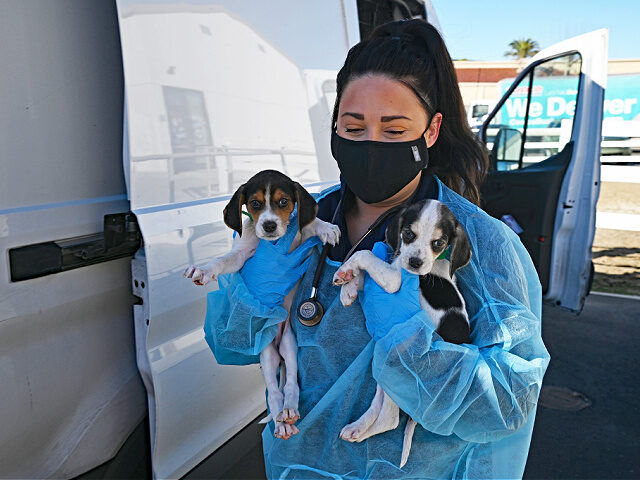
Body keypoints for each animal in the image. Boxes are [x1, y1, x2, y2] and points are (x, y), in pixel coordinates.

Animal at [184, 169, 340, 438]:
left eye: (284, 202)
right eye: (255, 204)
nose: (268, 225)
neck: (273, 243)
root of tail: (276, 343)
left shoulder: (301, 239)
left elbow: (309, 223)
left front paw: (327, 227)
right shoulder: (240, 256)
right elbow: (222, 260)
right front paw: (203, 270)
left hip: (289, 346)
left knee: (290, 385)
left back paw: (289, 410)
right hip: (267, 356)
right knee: (275, 393)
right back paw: (281, 421)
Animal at [330, 199, 470, 468]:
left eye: (439, 243)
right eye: (408, 234)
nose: (415, 263)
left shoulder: (394, 280)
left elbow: (365, 254)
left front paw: (349, 272)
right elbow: (367, 275)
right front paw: (347, 283)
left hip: (401, 366)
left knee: (391, 419)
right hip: (384, 359)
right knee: (379, 404)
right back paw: (357, 428)